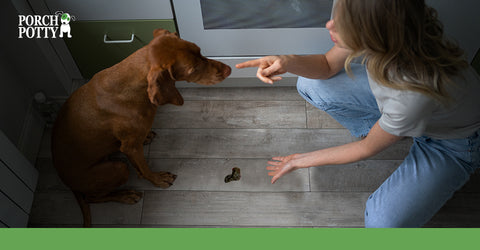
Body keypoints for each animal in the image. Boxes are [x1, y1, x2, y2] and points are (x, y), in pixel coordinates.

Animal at [51, 29, 232, 227]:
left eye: (199, 50)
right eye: (193, 69)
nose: (229, 69)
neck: (129, 85)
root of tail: (66, 182)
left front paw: (145, 138)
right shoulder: (130, 148)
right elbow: (144, 169)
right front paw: (158, 180)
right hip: (118, 168)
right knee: (91, 197)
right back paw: (125, 195)